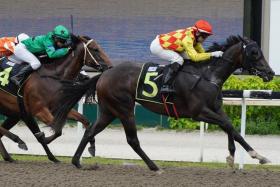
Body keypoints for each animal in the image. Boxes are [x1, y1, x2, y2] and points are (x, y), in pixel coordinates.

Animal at [52, 34, 274, 169]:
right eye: (254, 53)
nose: (271, 73)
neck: (207, 74)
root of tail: (104, 74)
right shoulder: (198, 112)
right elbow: (229, 126)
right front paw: (255, 155)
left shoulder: (216, 108)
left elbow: (231, 128)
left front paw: (235, 157)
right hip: (124, 108)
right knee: (132, 139)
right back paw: (154, 166)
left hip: (108, 110)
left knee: (91, 130)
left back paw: (77, 161)